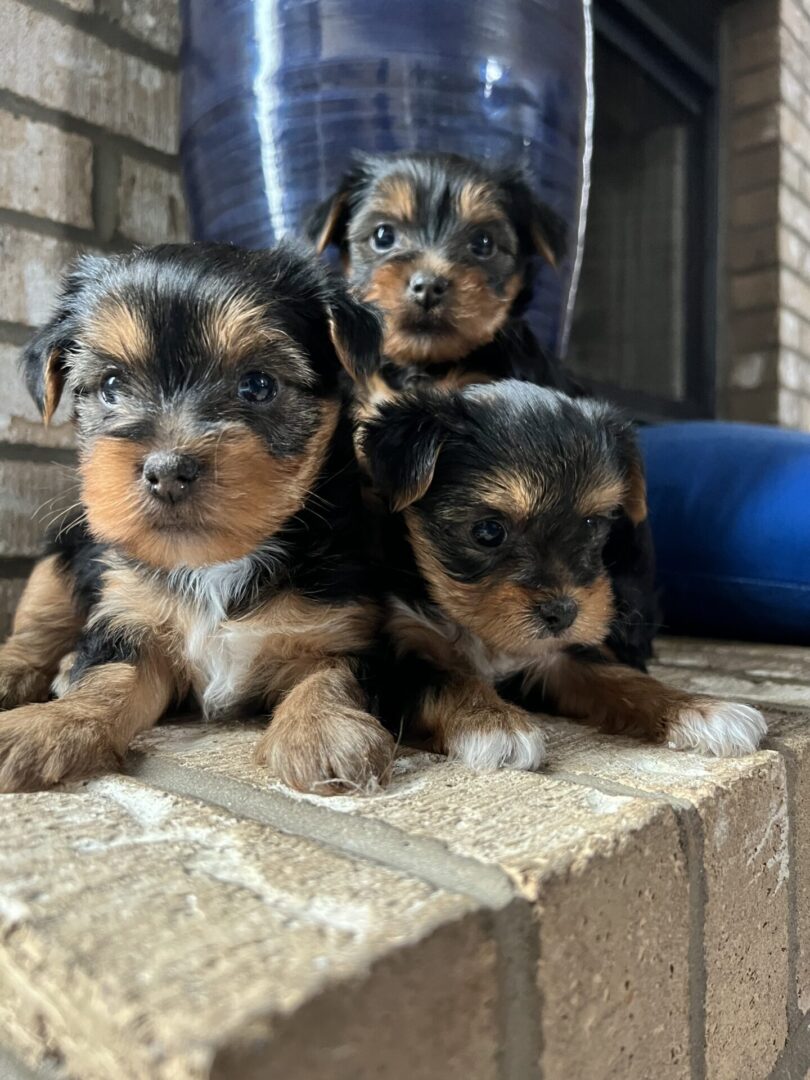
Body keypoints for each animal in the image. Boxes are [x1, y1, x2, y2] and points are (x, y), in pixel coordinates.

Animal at [0, 243, 397, 794]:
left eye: (258, 385)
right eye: (111, 386)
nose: (168, 470)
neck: (215, 563)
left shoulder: (348, 624)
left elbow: (335, 672)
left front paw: (323, 730)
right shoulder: (129, 617)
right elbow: (109, 677)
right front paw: (50, 724)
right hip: (65, 548)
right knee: (37, 624)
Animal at [360, 382, 768, 768]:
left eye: (592, 525)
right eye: (488, 531)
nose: (563, 613)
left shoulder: (556, 656)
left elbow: (622, 678)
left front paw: (702, 708)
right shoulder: (400, 651)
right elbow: (447, 679)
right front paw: (494, 723)